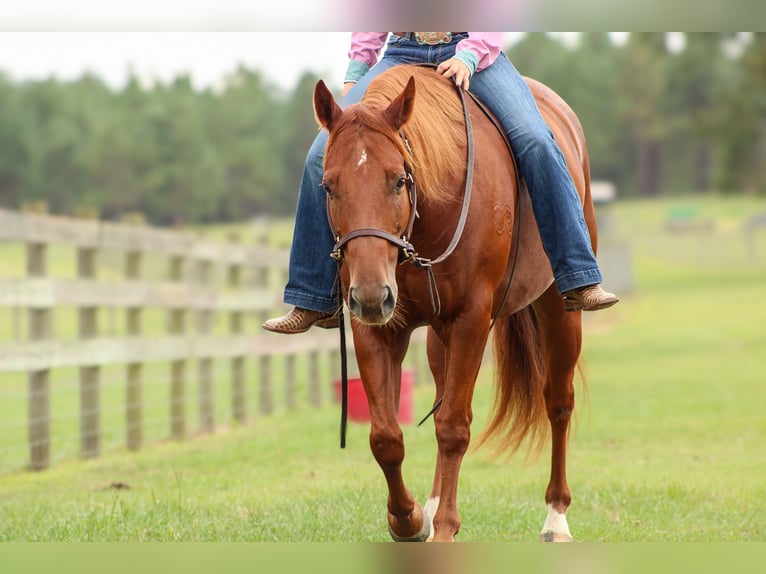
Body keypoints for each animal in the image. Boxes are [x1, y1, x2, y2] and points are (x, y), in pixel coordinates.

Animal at [316, 66, 596, 544]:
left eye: (399, 180)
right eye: (329, 187)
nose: (371, 294)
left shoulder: (471, 320)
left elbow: (453, 429)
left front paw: (445, 528)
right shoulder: (376, 327)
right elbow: (386, 436)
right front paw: (408, 519)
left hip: (559, 311)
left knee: (558, 401)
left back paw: (556, 518)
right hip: (436, 334)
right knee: (440, 398)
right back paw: (429, 507)